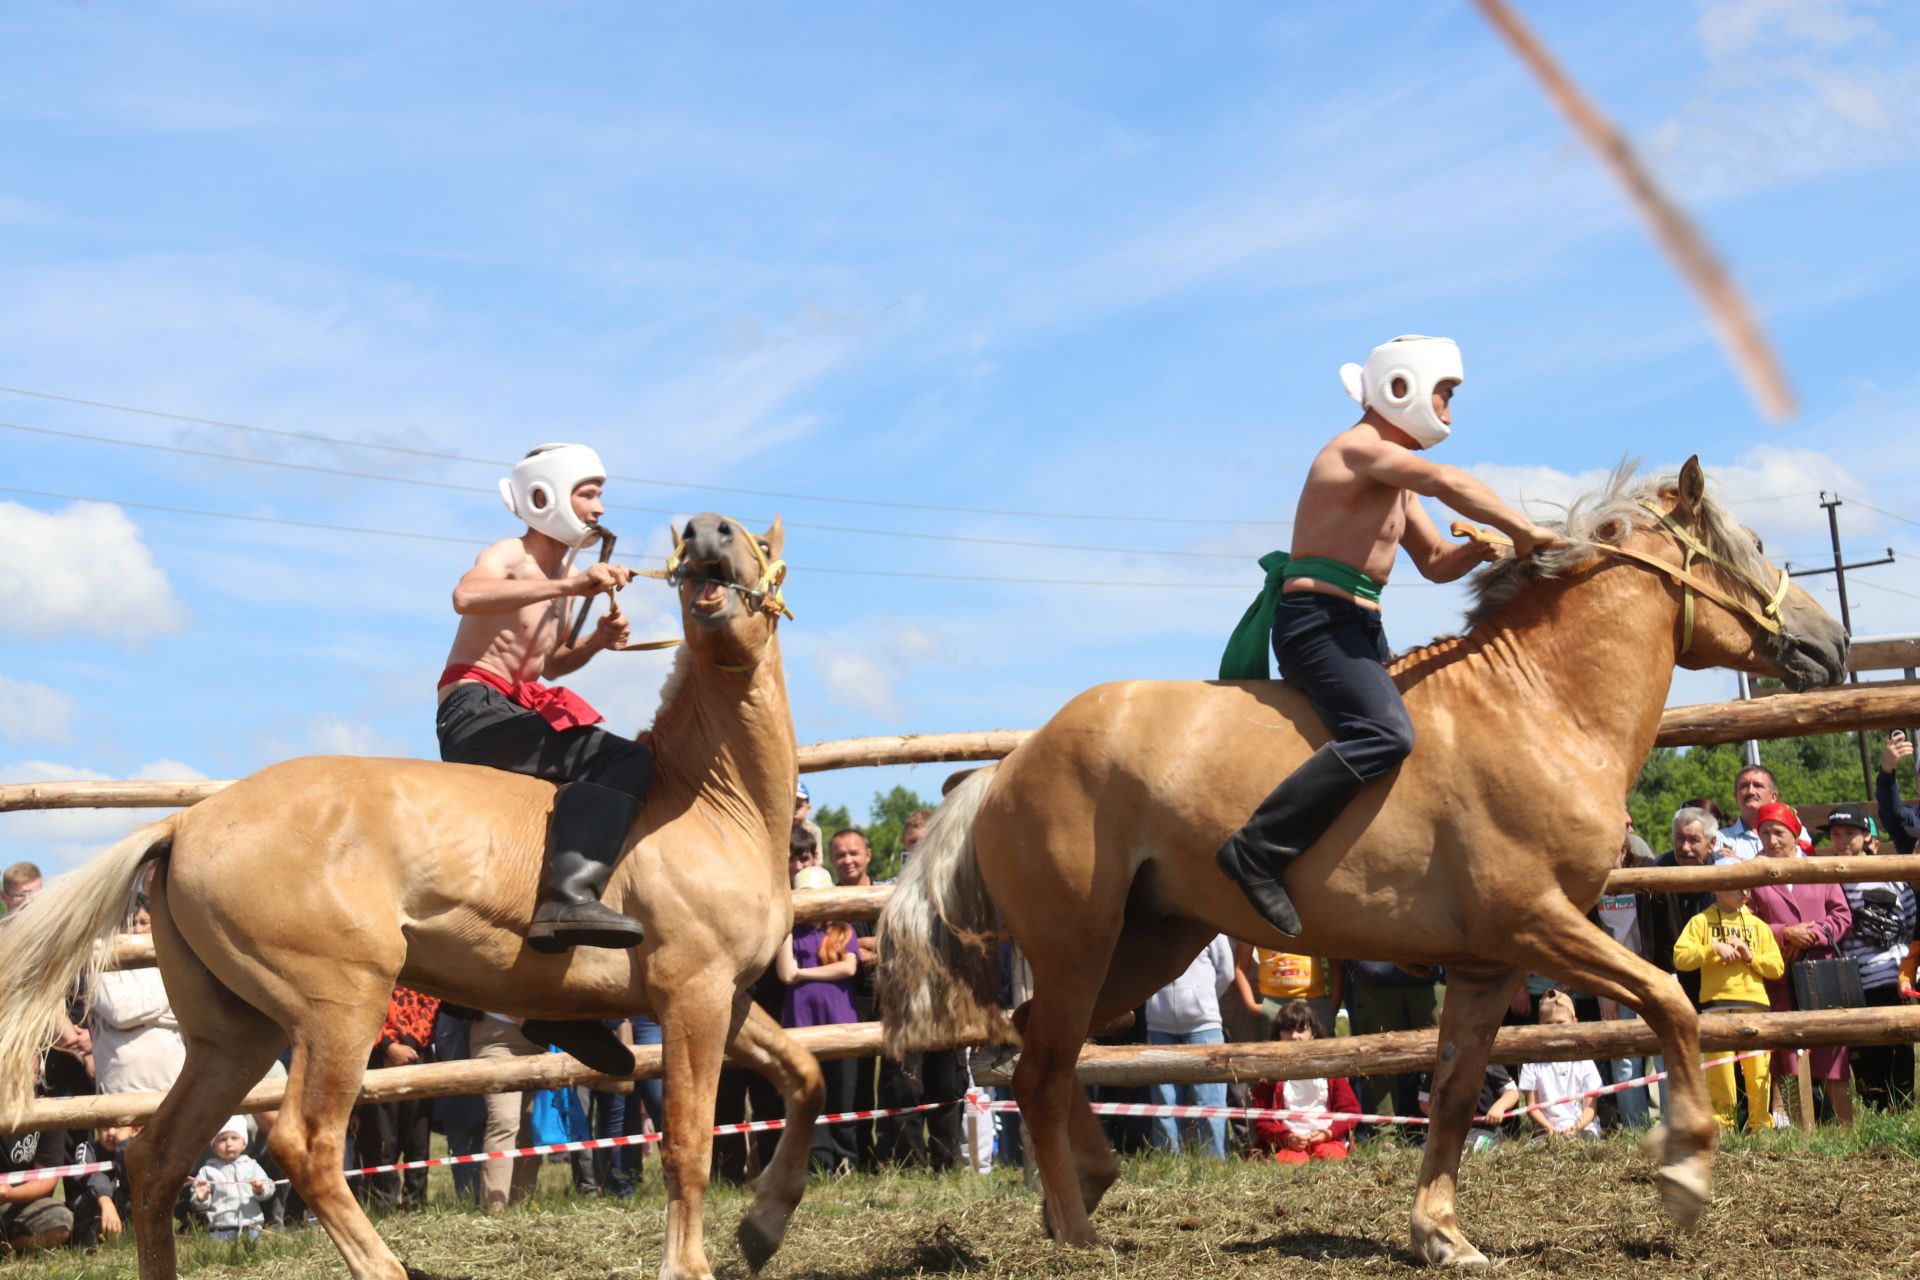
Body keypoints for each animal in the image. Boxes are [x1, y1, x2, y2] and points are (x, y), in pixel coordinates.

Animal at [0, 514, 817, 1280]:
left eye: (746, 534)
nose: (705, 531)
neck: (709, 802)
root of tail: (185, 823)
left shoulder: (729, 999)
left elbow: (804, 1078)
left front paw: (762, 1228)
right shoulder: (690, 996)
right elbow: (688, 1142)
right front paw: (692, 1261)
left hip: (234, 1036)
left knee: (155, 1157)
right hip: (339, 1008)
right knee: (306, 1142)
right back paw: (385, 1263)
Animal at [879, 460, 1850, 1258]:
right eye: (1755, 542)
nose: (1833, 642)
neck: (1538, 707)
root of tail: (1006, 768)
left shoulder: (1490, 962)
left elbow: (1453, 1092)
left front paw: (1441, 1235)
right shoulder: (1537, 922)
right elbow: (1668, 1006)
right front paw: (1683, 1176)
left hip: (1148, 942)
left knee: (1036, 1050)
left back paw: (1079, 1189)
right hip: (1082, 943)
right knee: (1039, 1066)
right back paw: (1080, 1230)